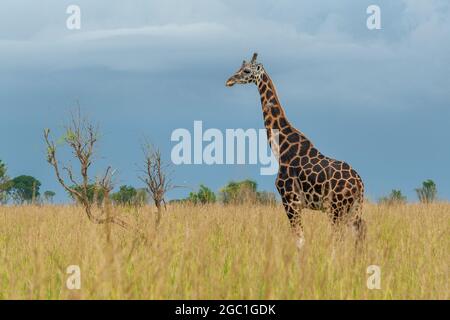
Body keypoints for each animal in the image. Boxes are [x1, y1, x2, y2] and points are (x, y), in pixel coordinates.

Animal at [225, 52, 366, 249]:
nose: (229, 81)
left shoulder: (290, 199)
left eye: (246, 70)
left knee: (339, 238)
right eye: (239, 67)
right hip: (354, 209)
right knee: (358, 236)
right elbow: (300, 239)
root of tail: (360, 184)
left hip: (337, 209)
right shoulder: (295, 203)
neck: (280, 149)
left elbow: (299, 240)